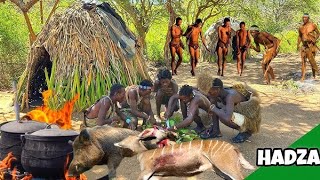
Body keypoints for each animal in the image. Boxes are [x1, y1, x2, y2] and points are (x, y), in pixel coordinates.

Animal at [115, 137, 255, 179]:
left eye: (126, 140)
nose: (117, 144)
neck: (142, 154)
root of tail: (233, 148)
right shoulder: (155, 175)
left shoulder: (147, 171)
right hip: (219, 169)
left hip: (224, 164)